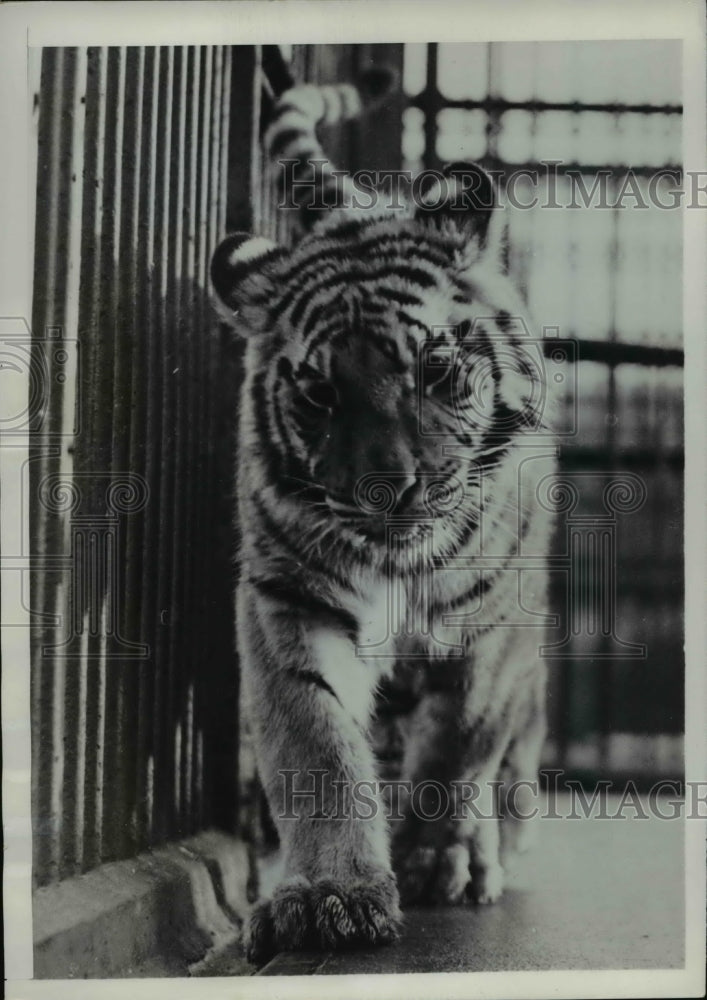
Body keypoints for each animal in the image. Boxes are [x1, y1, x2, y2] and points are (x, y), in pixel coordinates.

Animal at [213, 66, 556, 964]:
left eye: (435, 367)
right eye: (319, 391)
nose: (386, 489)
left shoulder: (493, 615)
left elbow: (459, 743)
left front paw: (440, 859)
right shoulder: (288, 600)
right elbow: (316, 745)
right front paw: (329, 895)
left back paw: (498, 832)